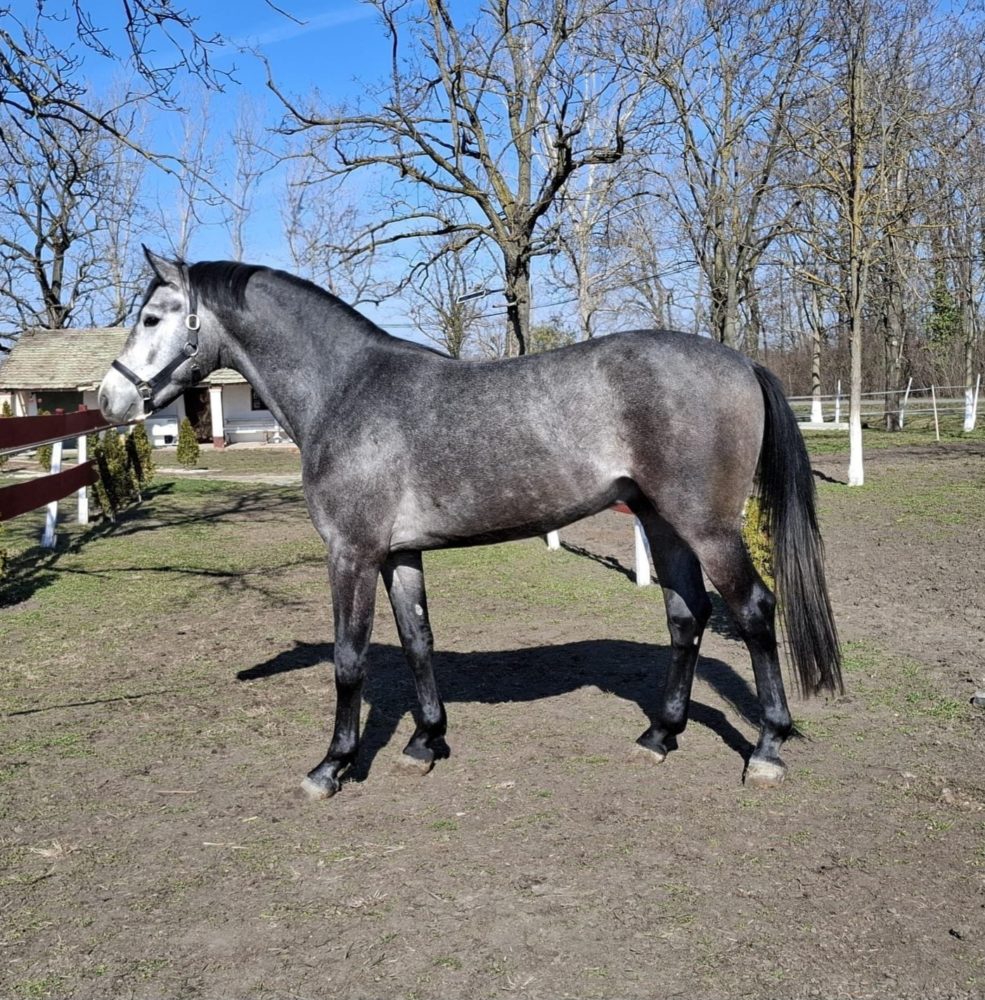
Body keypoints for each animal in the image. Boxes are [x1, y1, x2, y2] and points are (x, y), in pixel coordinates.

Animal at [98, 247, 842, 800]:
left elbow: (348, 660)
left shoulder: (350, 553)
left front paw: (332, 766)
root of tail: (740, 360)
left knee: (753, 610)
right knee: (687, 616)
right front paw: (425, 742)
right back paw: (660, 735)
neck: (346, 392)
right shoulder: (397, 555)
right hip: (661, 522)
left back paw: (767, 750)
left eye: (153, 316)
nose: (108, 400)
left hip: (708, 529)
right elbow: (418, 641)